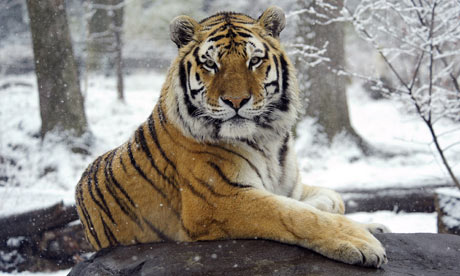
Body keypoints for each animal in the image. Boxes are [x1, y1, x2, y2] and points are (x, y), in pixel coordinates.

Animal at [74, 5, 388, 268]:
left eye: (254, 61)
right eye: (211, 64)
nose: (236, 101)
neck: (268, 140)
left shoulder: (291, 187)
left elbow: (333, 199)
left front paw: (374, 226)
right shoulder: (221, 199)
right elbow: (295, 213)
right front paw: (361, 241)